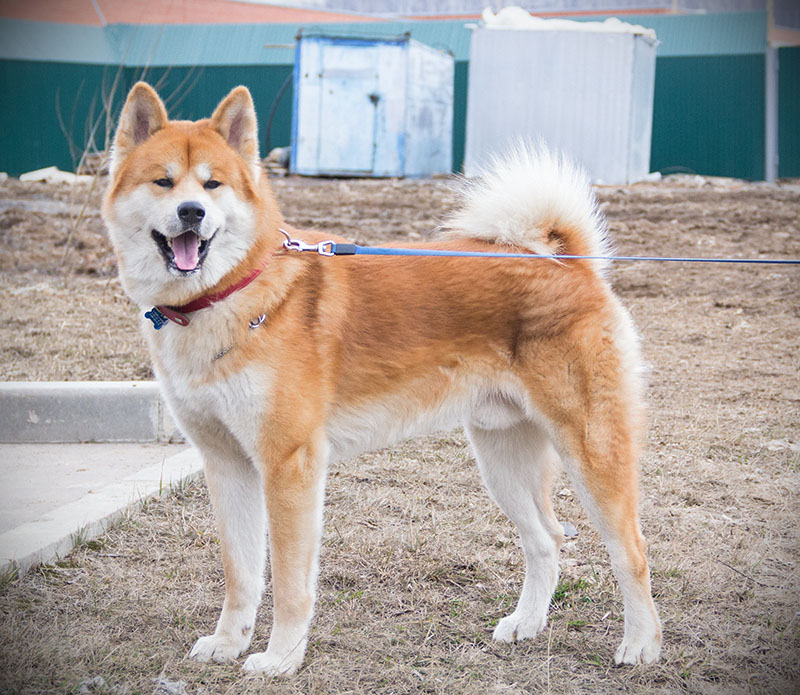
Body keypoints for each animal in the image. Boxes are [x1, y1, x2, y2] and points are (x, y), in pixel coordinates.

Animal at [102, 82, 662, 676]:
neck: (229, 293)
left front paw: (279, 659)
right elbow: (241, 575)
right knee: (546, 542)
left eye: (212, 185)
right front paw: (229, 643)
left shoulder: (290, 466)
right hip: (501, 458)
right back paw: (527, 624)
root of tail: (566, 263)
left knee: (631, 552)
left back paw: (641, 644)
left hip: (591, 453)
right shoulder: (227, 465)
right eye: (164, 181)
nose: (192, 211)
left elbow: (290, 585)